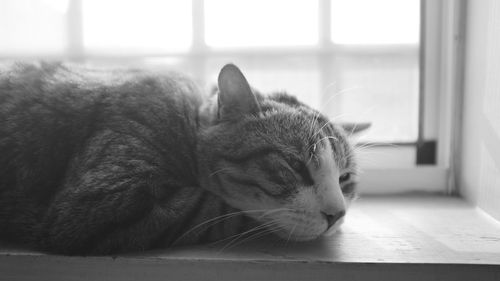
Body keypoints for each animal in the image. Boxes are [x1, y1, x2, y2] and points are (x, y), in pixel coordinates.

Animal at [0, 62, 368, 255]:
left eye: (345, 179)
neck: (185, 121)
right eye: (294, 166)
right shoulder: (98, 204)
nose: (337, 214)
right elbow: (218, 210)